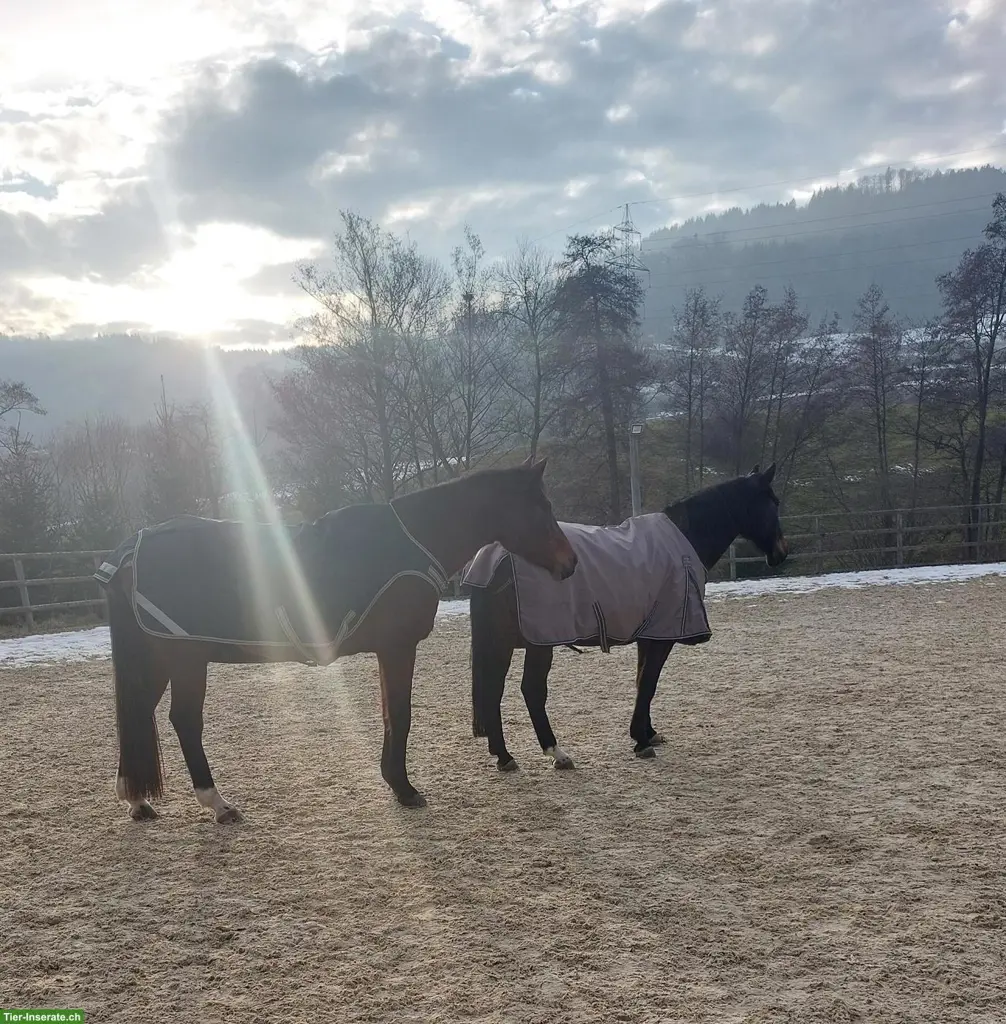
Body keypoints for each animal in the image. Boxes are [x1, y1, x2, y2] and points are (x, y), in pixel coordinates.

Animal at [99, 457, 578, 821]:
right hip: (185, 659)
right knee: (183, 721)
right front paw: (405, 788)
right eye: (540, 506)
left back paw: (137, 800)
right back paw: (217, 803)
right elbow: (400, 715)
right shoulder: (398, 648)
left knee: (139, 713)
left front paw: (394, 781)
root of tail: (127, 554)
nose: (570, 563)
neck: (412, 540)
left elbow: (390, 714)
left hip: (158, 660)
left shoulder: (389, 651)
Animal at [466, 464, 789, 772]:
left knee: (493, 692)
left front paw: (648, 732)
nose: (782, 552)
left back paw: (504, 756)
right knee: (530, 691)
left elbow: (641, 681)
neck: (683, 537)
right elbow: (649, 683)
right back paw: (556, 753)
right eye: (773, 502)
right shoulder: (663, 636)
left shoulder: (650, 634)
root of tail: (494, 557)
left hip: (503, 643)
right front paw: (641, 741)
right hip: (538, 642)